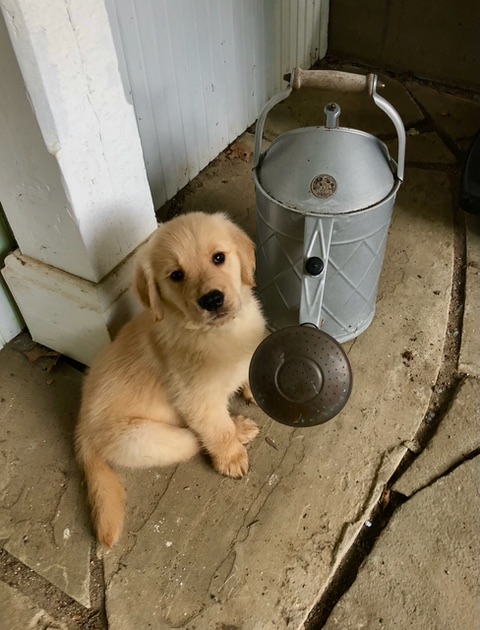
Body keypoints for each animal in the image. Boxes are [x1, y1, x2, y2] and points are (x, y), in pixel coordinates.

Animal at [77, 214, 268, 548]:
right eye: (176, 275)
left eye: (219, 257)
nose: (212, 300)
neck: (215, 332)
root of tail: (82, 432)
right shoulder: (197, 399)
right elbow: (218, 430)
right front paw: (231, 456)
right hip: (148, 437)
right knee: (194, 438)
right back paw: (239, 430)